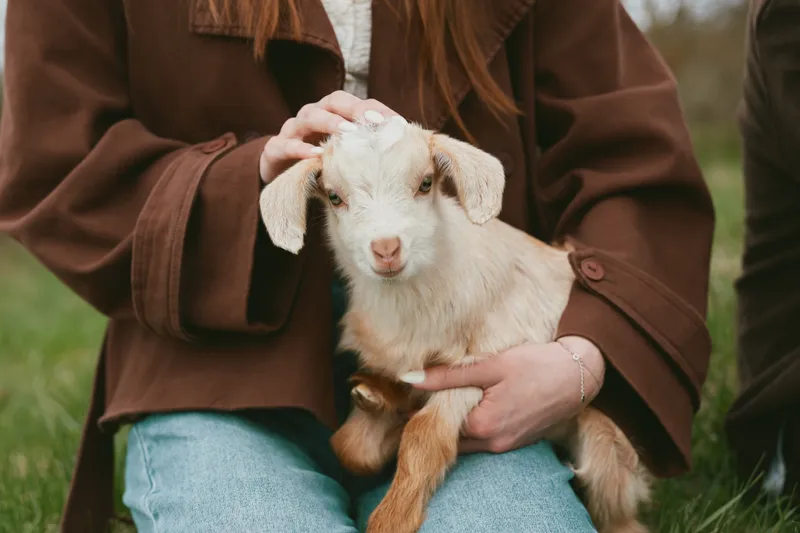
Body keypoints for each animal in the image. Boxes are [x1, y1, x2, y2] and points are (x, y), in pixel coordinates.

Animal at [259, 116, 651, 533]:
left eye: (425, 183)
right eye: (334, 197)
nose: (386, 249)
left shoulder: (480, 365)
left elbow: (424, 436)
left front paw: (393, 518)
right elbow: (349, 447)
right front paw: (379, 403)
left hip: (607, 444)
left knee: (620, 513)